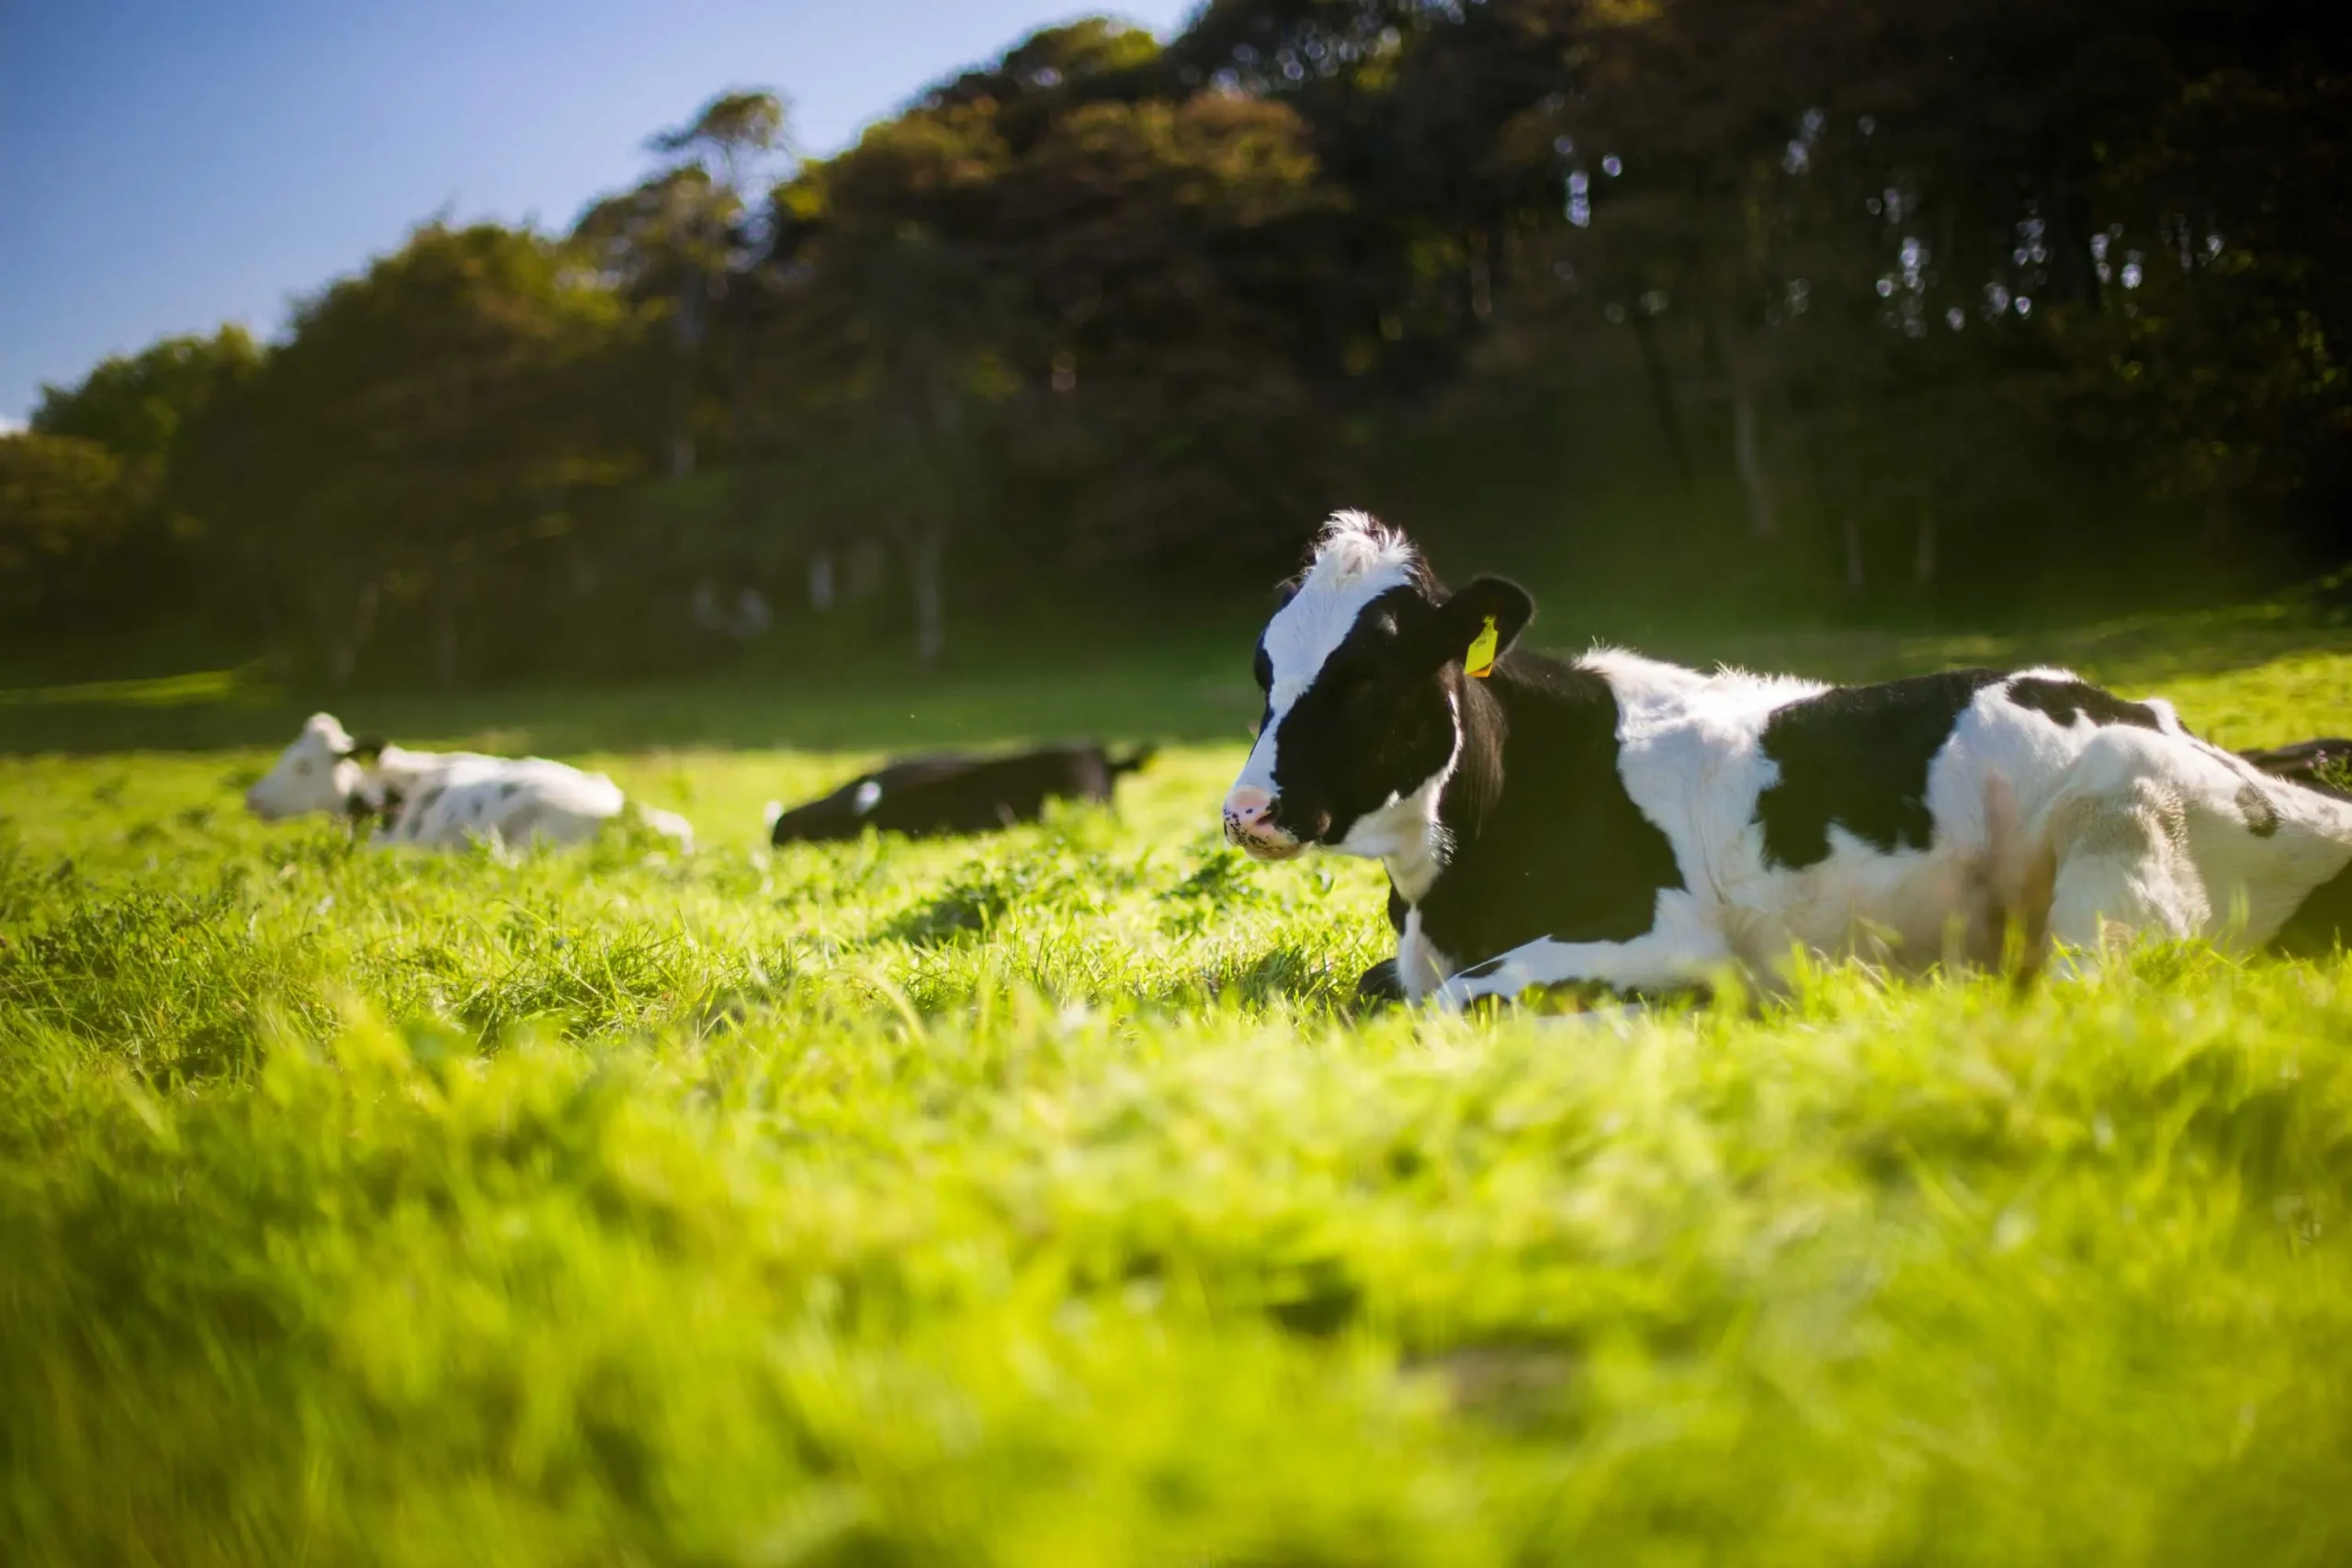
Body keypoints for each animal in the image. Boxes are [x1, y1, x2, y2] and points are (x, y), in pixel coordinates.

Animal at [1223, 510, 2352, 1010]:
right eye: (1263, 666)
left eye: (1368, 674)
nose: (1245, 811)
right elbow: (1386, 988)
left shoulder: (1663, 931)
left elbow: (1459, 998)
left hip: (2117, 860)